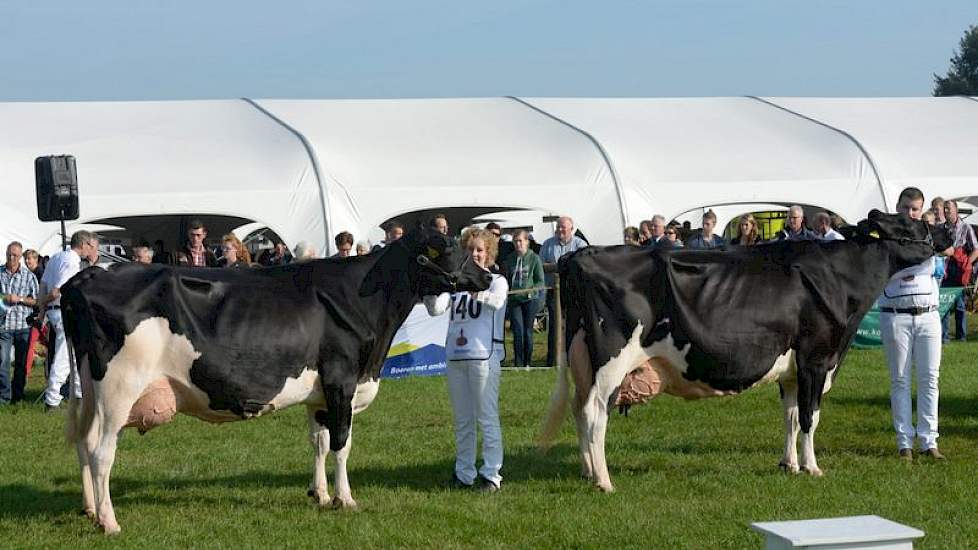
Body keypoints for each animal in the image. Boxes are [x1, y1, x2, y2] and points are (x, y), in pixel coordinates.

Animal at [60, 227, 488, 536]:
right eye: (450, 247)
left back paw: (90, 510)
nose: (486, 274)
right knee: (101, 451)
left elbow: (318, 443)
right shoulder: (342, 382)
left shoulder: (318, 394)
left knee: (83, 441)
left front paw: (319, 494)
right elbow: (342, 445)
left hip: (91, 388)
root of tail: (90, 274)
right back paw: (110, 522)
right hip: (119, 387)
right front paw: (345, 499)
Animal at [540, 210, 944, 492]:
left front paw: (789, 464)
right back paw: (604, 480)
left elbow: (790, 416)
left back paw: (587, 470)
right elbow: (810, 417)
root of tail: (580, 255)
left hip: (582, 360)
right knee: (595, 412)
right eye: (908, 223)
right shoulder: (815, 359)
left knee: (578, 408)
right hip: (611, 360)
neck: (839, 277)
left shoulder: (791, 369)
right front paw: (813, 467)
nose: (941, 232)